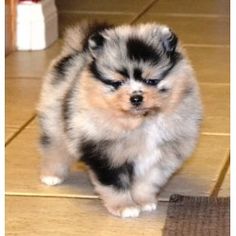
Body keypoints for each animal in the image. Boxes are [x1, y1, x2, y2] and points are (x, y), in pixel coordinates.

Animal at [37, 22, 203, 218]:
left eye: (151, 80)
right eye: (117, 83)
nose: (136, 97)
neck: (141, 121)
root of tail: (78, 50)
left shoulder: (161, 155)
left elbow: (148, 181)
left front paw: (144, 201)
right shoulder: (106, 153)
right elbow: (115, 184)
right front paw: (125, 207)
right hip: (55, 117)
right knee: (54, 146)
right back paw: (52, 175)